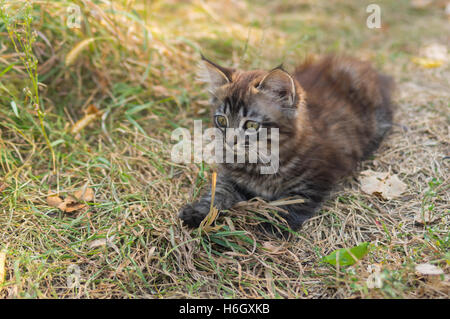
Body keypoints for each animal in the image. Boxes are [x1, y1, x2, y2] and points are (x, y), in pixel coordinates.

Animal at [178, 55, 394, 234]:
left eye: (251, 125)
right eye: (222, 120)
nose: (229, 142)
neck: (261, 159)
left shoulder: (316, 178)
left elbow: (293, 202)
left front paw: (272, 225)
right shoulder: (230, 177)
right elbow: (218, 192)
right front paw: (200, 211)